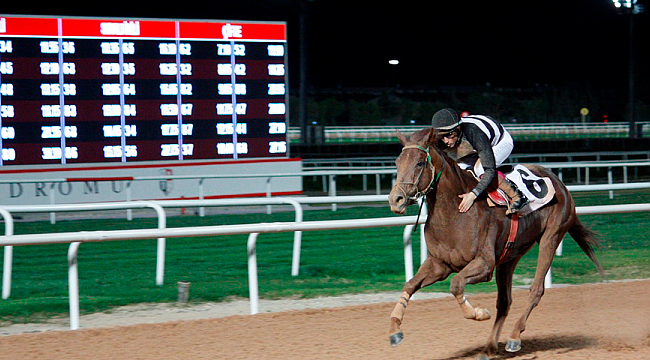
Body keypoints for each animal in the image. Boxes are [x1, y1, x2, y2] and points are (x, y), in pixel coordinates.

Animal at [388, 128, 600, 358]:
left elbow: (456, 284)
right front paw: (394, 331)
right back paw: (488, 347)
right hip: (510, 256)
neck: (454, 212)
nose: (396, 199)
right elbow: (410, 284)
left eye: (419, 163)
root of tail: (560, 184)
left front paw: (480, 313)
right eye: (397, 162)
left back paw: (514, 337)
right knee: (505, 301)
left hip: (551, 237)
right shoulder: (439, 264)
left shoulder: (485, 264)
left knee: (536, 290)